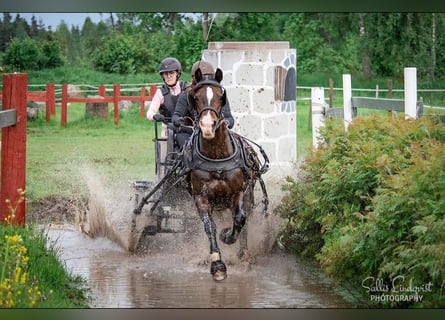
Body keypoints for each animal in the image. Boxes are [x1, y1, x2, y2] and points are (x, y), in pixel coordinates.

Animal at [182, 67, 268, 280]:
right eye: (195, 97)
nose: (207, 125)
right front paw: (217, 264)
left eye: (222, 97)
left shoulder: (237, 192)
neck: (216, 156)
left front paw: (227, 236)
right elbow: (209, 227)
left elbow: (239, 219)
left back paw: (243, 254)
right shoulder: (201, 197)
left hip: (248, 194)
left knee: (245, 219)